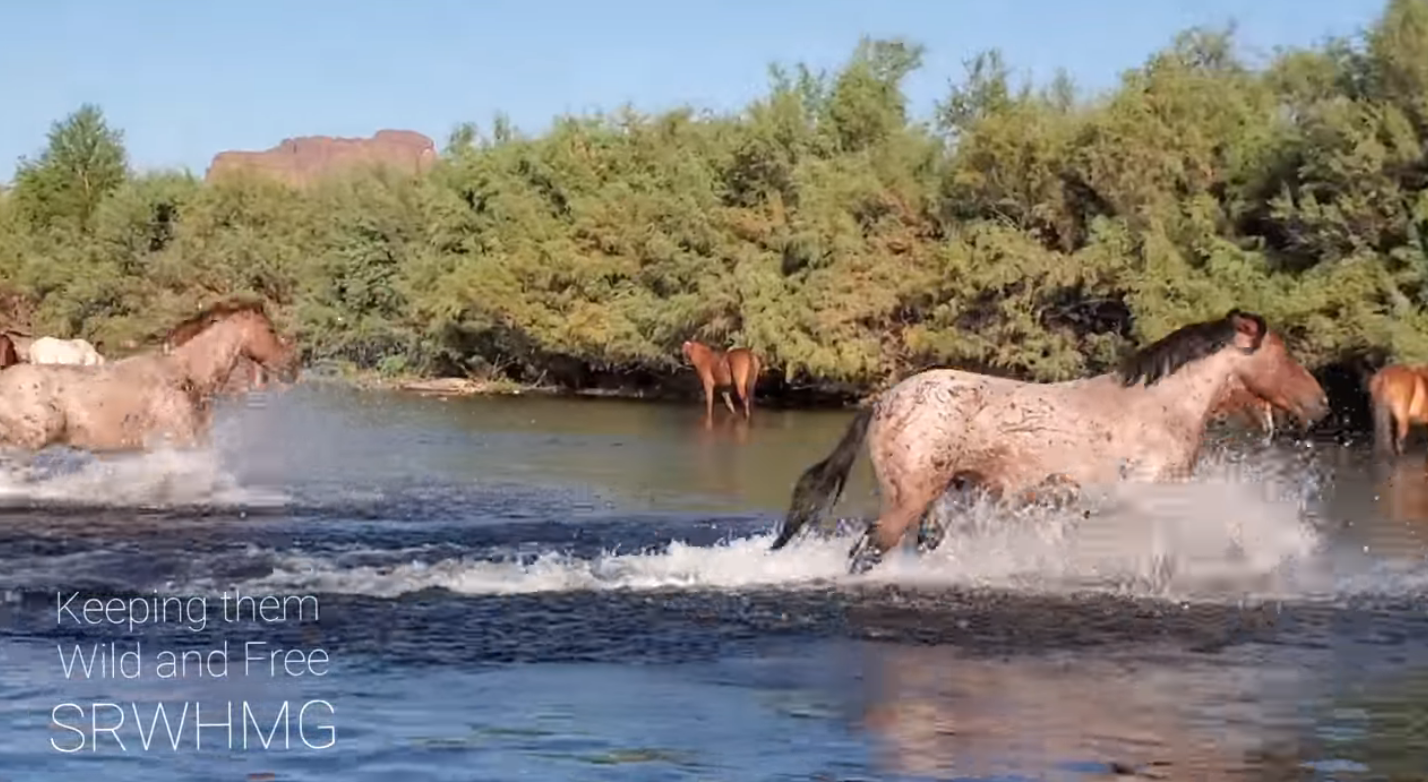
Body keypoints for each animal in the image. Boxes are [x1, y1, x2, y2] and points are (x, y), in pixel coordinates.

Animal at [768, 309, 1330, 573]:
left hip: (935, 504)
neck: (1157, 409)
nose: (1321, 403)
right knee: (866, 551)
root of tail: (885, 399)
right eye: (1283, 354)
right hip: (906, 501)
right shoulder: (1156, 497)